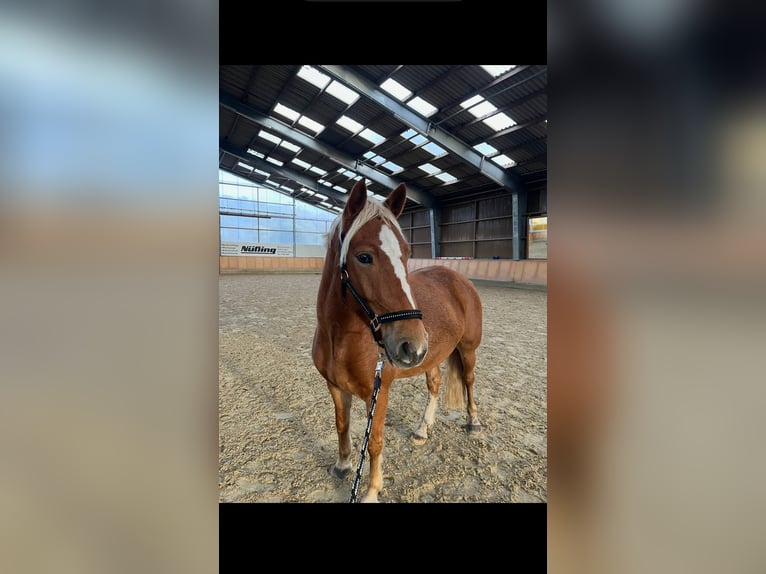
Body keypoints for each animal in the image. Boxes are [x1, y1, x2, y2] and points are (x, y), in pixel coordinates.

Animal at [311, 179, 484, 503]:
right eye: (364, 257)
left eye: (405, 252)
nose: (411, 343)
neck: (342, 339)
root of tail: (458, 278)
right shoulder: (335, 387)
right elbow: (342, 425)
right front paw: (342, 466)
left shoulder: (379, 394)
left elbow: (375, 442)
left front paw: (371, 492)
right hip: (432, 356)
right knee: (434, 385)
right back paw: (422, 430)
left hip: (467, 350)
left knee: (468, 381)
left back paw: (474, 423)